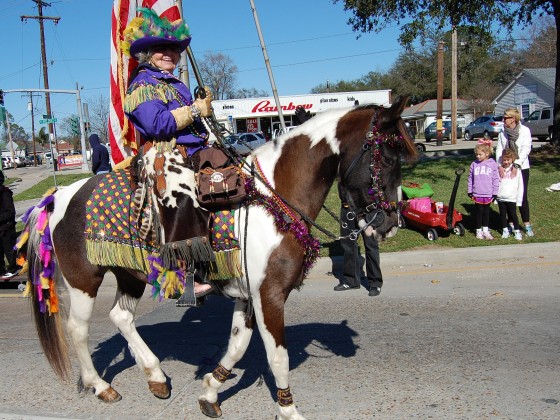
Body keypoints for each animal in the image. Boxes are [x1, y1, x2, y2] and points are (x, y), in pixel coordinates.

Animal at [21, 96, 416, 420]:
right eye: (390, 158)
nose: (390, 225)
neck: (273, 197)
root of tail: (60, 195)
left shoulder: (249, 295)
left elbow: (238, 346)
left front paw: (211, 391)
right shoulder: (269, 295)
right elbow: (278, 356)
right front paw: (288, 410)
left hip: (129, 274)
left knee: (121, 316)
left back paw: (156, 376)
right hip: (83, 278)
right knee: (78, 328)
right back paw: (101, 386)